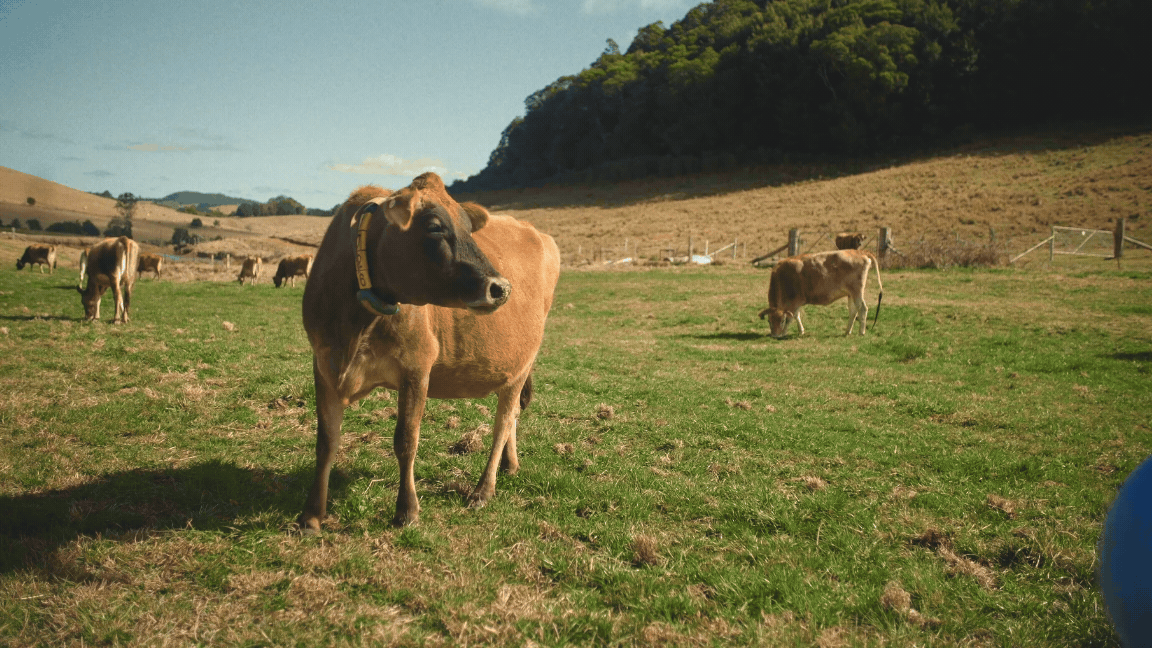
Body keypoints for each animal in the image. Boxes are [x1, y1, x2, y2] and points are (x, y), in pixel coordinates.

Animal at [298, 172, 560, 530]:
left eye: (468, 227)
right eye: (435, 226)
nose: (501, 288)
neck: (355, 322)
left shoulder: (417, 366)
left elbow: (406, 441)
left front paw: (407, 510)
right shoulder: (324, 364)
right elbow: (326, 441)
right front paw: (312, 515)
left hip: (521, 364)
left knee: (504, 421)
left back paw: (483, 489)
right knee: (514, 418)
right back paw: (510, 464)